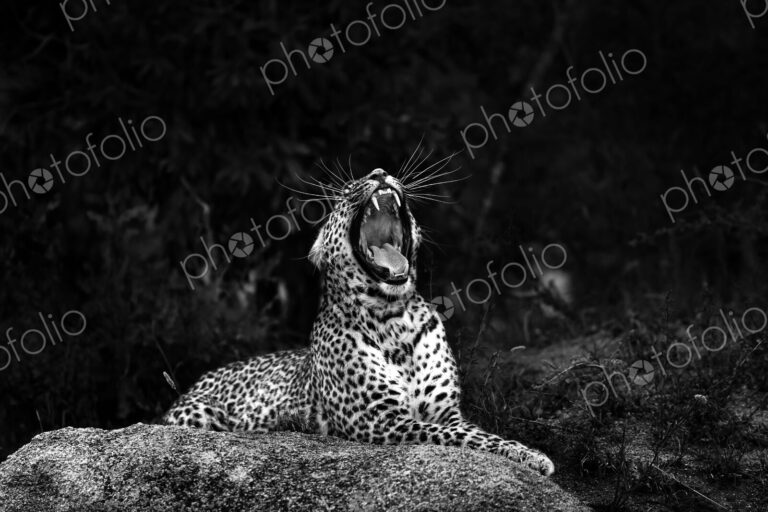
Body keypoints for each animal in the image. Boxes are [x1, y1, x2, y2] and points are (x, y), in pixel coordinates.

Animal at [163, 166, 555, 476]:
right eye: (344, 193)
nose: (379, 172)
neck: (395, 317)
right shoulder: (380, 422)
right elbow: (461, 436)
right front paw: (534, 457)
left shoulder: (446, 412)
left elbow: (477, 432)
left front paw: (527, 453)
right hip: (198, 415)